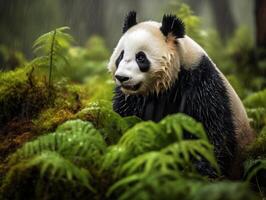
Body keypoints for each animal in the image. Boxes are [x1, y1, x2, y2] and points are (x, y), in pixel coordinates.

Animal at [107, 11, 255, 178]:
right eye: (120, 56)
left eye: (141, 57)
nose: (122, 77)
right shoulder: (135, 98)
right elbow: (125, 118)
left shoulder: (200, 82)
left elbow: (210, 127)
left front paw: (203, 169)